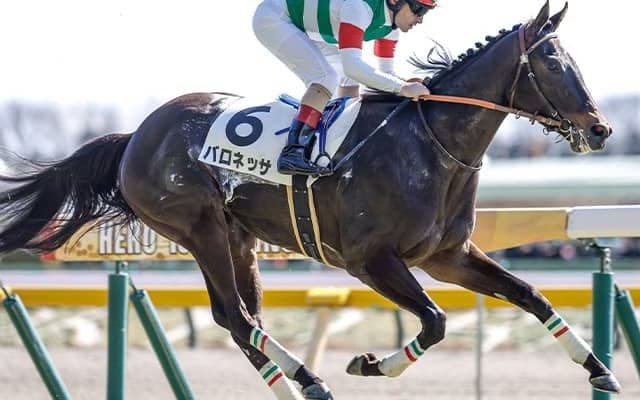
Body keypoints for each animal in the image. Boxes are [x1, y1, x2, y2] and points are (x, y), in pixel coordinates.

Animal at [0, 2, 620, 398]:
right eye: (554, 64)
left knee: (238, 317)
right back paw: (306, 378)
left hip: (237, 237)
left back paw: (301, 381)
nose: (600, 129)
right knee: (234, 315)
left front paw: (598, 370)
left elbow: (530, 295)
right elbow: (436, 321)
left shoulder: (448, 256)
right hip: (200, 228)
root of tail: (134, 136)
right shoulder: (370, 260)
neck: (429, 144)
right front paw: (369, 364)